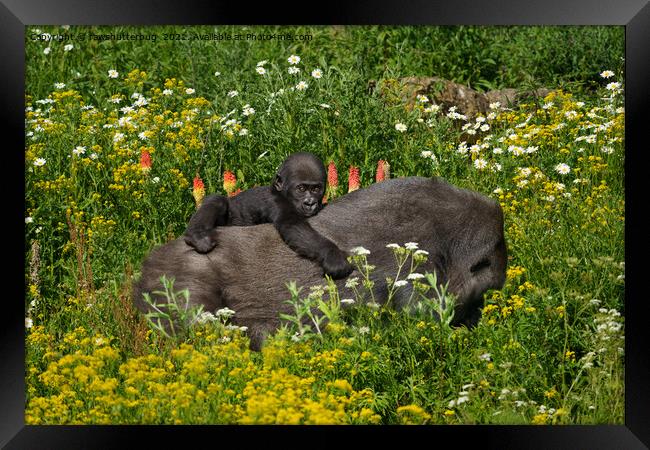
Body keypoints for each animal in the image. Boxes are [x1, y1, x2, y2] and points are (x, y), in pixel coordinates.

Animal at [182, 153, 354, 280]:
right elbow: (291, 225)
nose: (310, 203)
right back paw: (196, 235)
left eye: (316, 189)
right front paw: (332, 255)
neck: (280, 191)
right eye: (301, 188)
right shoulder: (277, 203)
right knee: (217, 200)